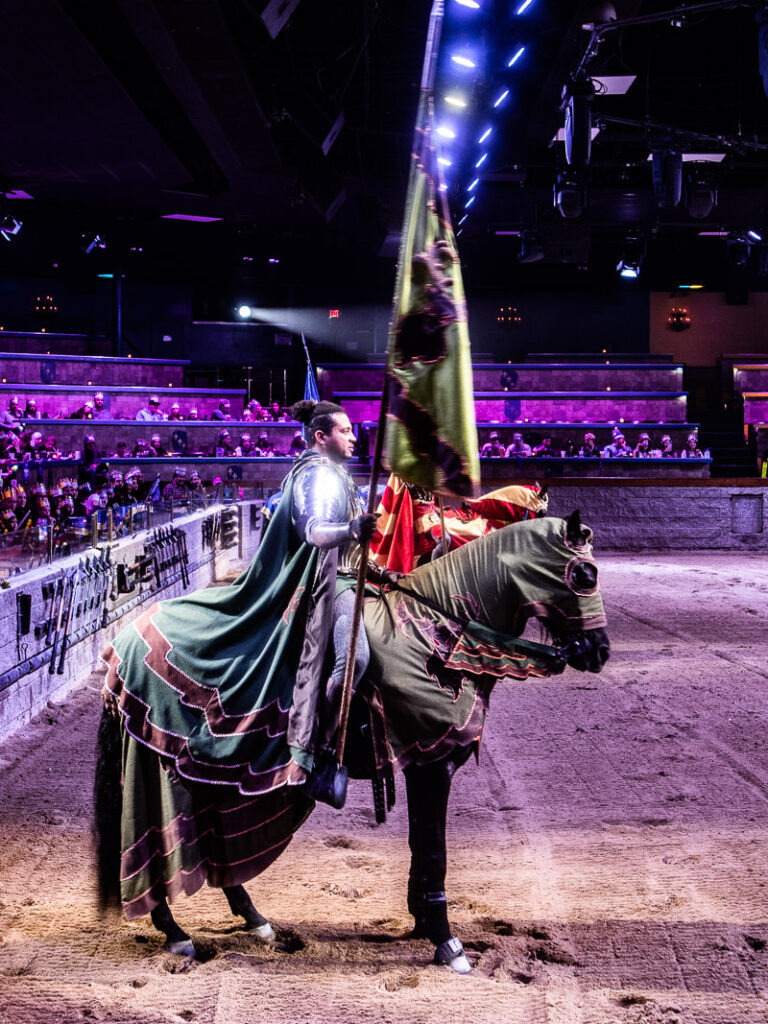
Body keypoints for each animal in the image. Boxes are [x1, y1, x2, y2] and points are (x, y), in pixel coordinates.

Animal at [93, 507, 610, 970]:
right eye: (584, 574)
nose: (598, 652)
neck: (437, 638)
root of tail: (121, 646)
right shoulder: (433, 764)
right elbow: (435, 852)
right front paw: (447, 942)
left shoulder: (419, 764)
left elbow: (420, 847)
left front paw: (423, 923)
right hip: (159, 764)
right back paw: (176, 934)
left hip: (203, 772)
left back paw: (257, 922)